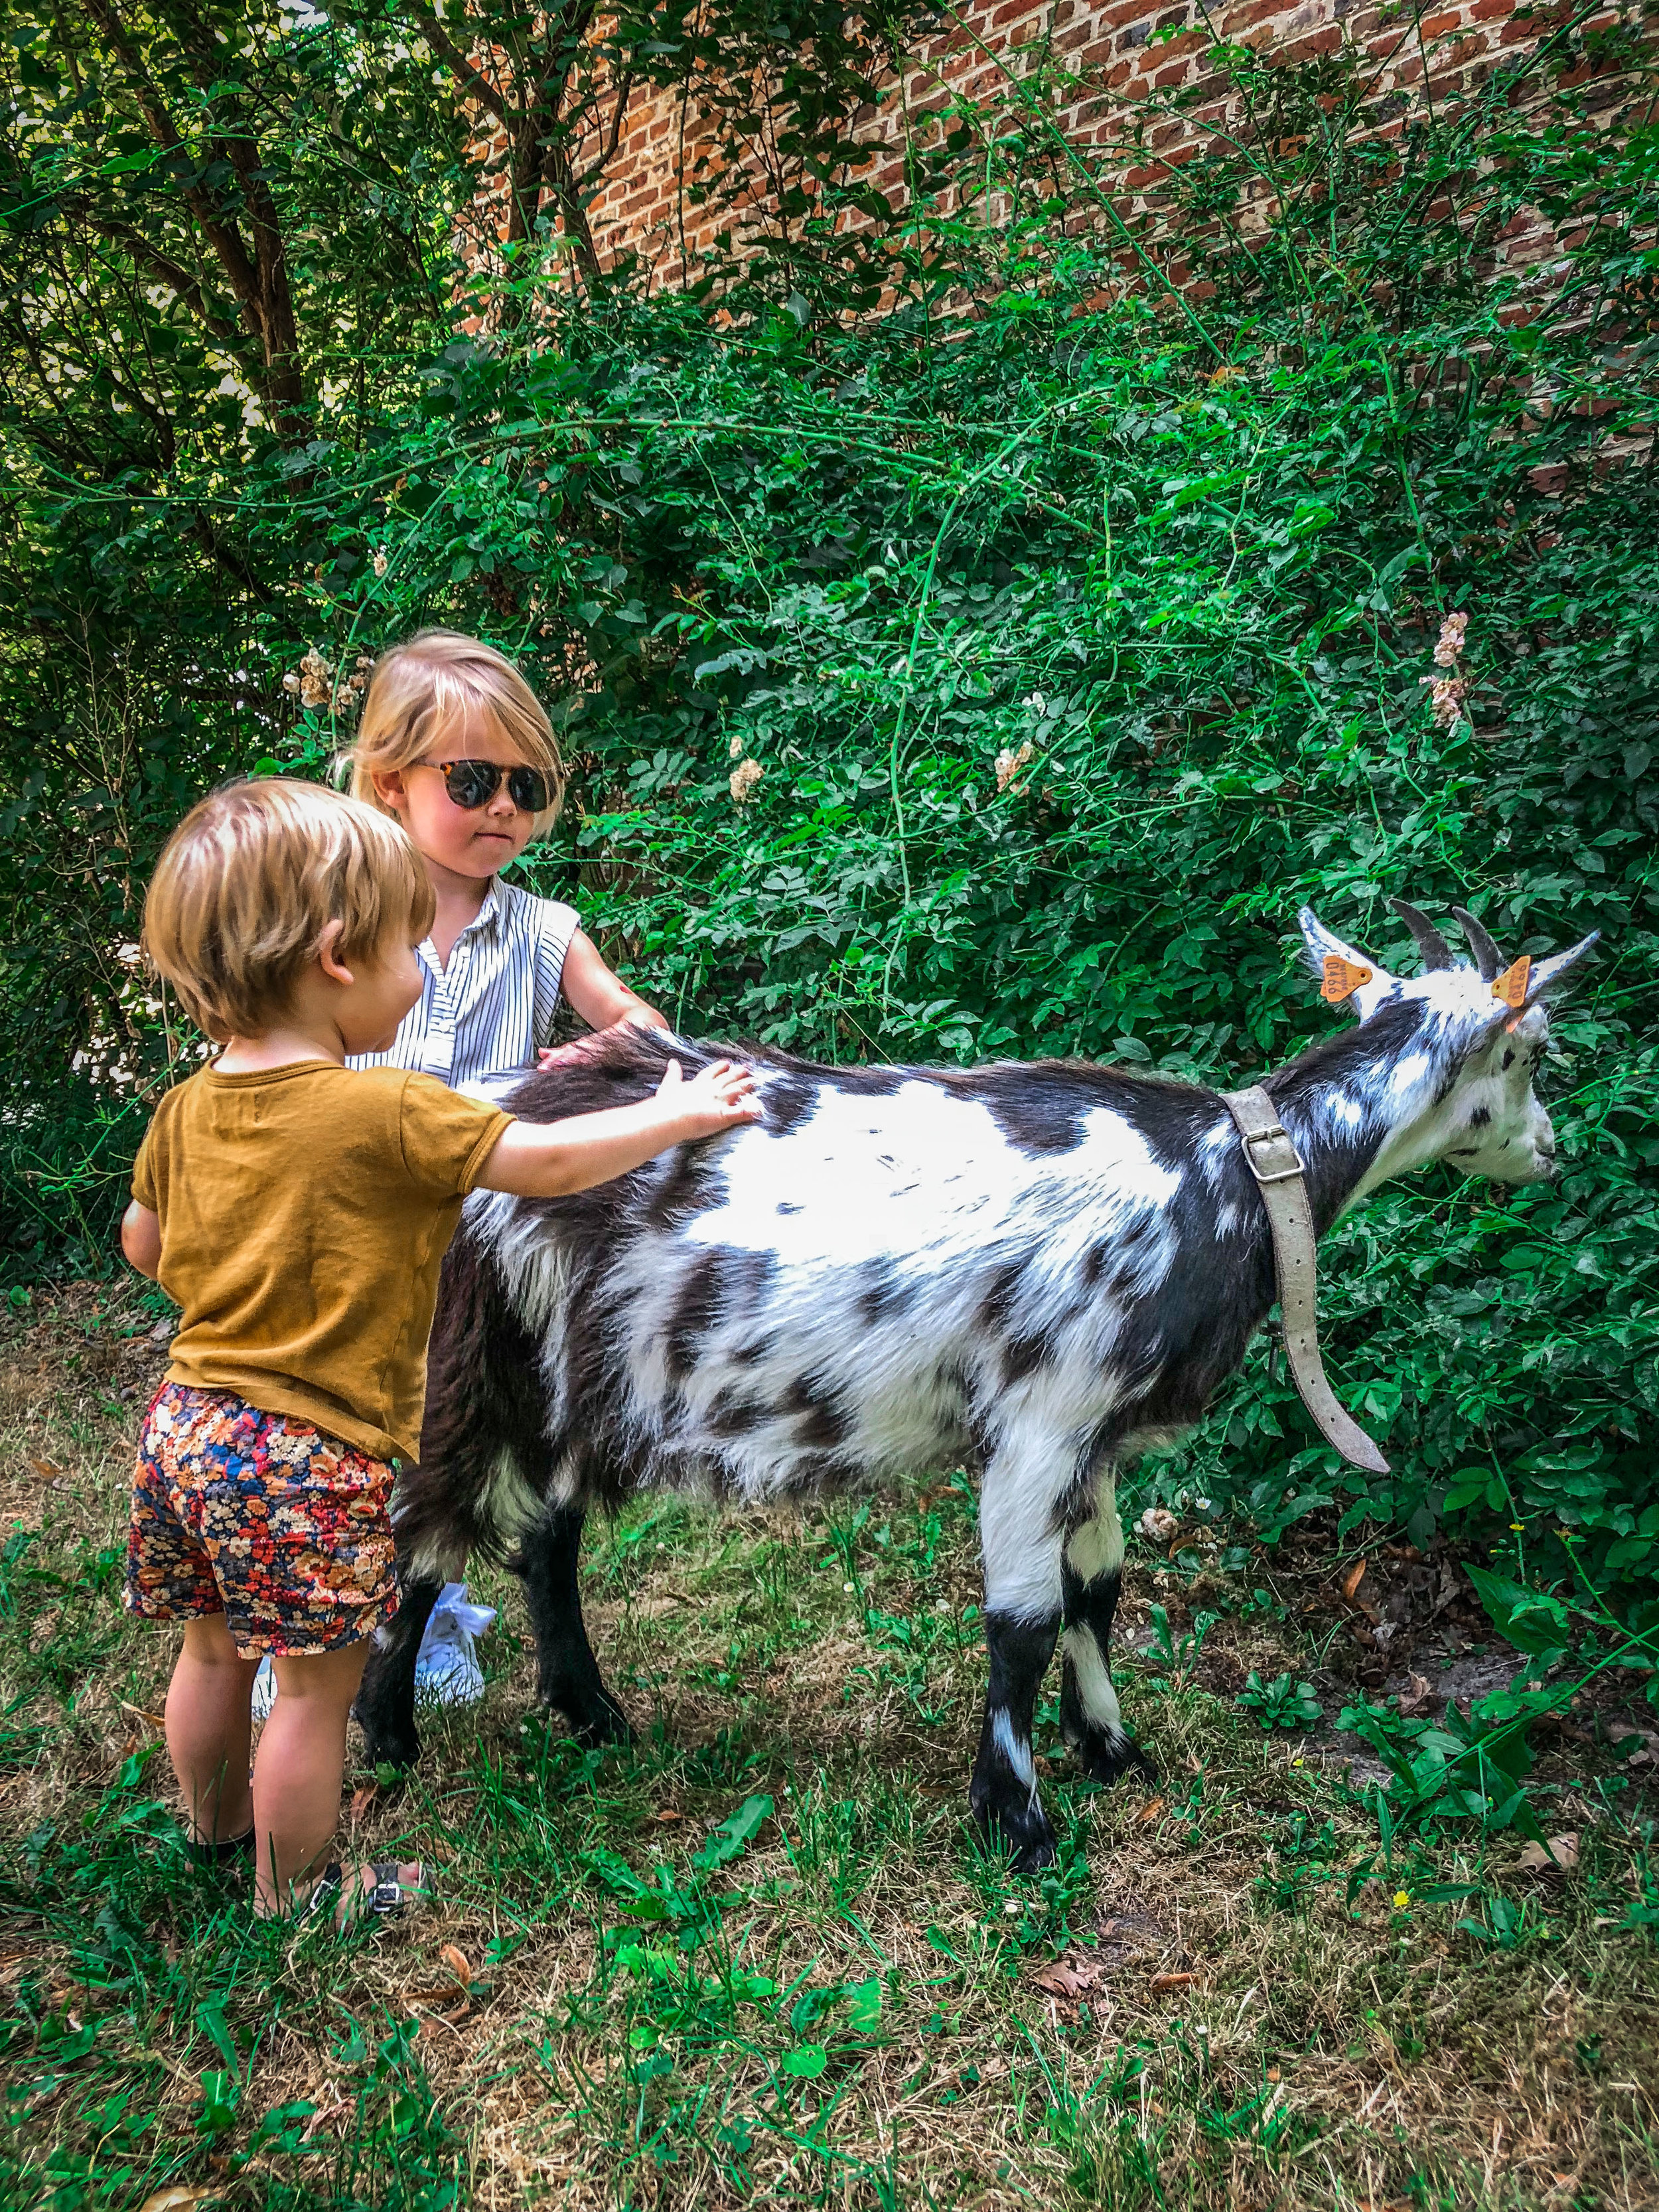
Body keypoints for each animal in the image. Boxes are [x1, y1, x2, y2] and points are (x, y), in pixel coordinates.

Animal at [360, 902, 1601, 1867]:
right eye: (1532, 1049)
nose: (1553, 1153)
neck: (1229, 1177)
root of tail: (494, 1112)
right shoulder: (1040, 1418)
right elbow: (1023, 1620)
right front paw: (1018, 1823)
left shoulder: (1098, 1435)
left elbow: (1097, 1590)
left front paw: (1110, 1749)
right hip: (478, 1352)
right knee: (423, 1531)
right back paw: (386, 1746)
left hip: (582, 1371)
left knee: (547, 1536)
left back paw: (593, 1715)